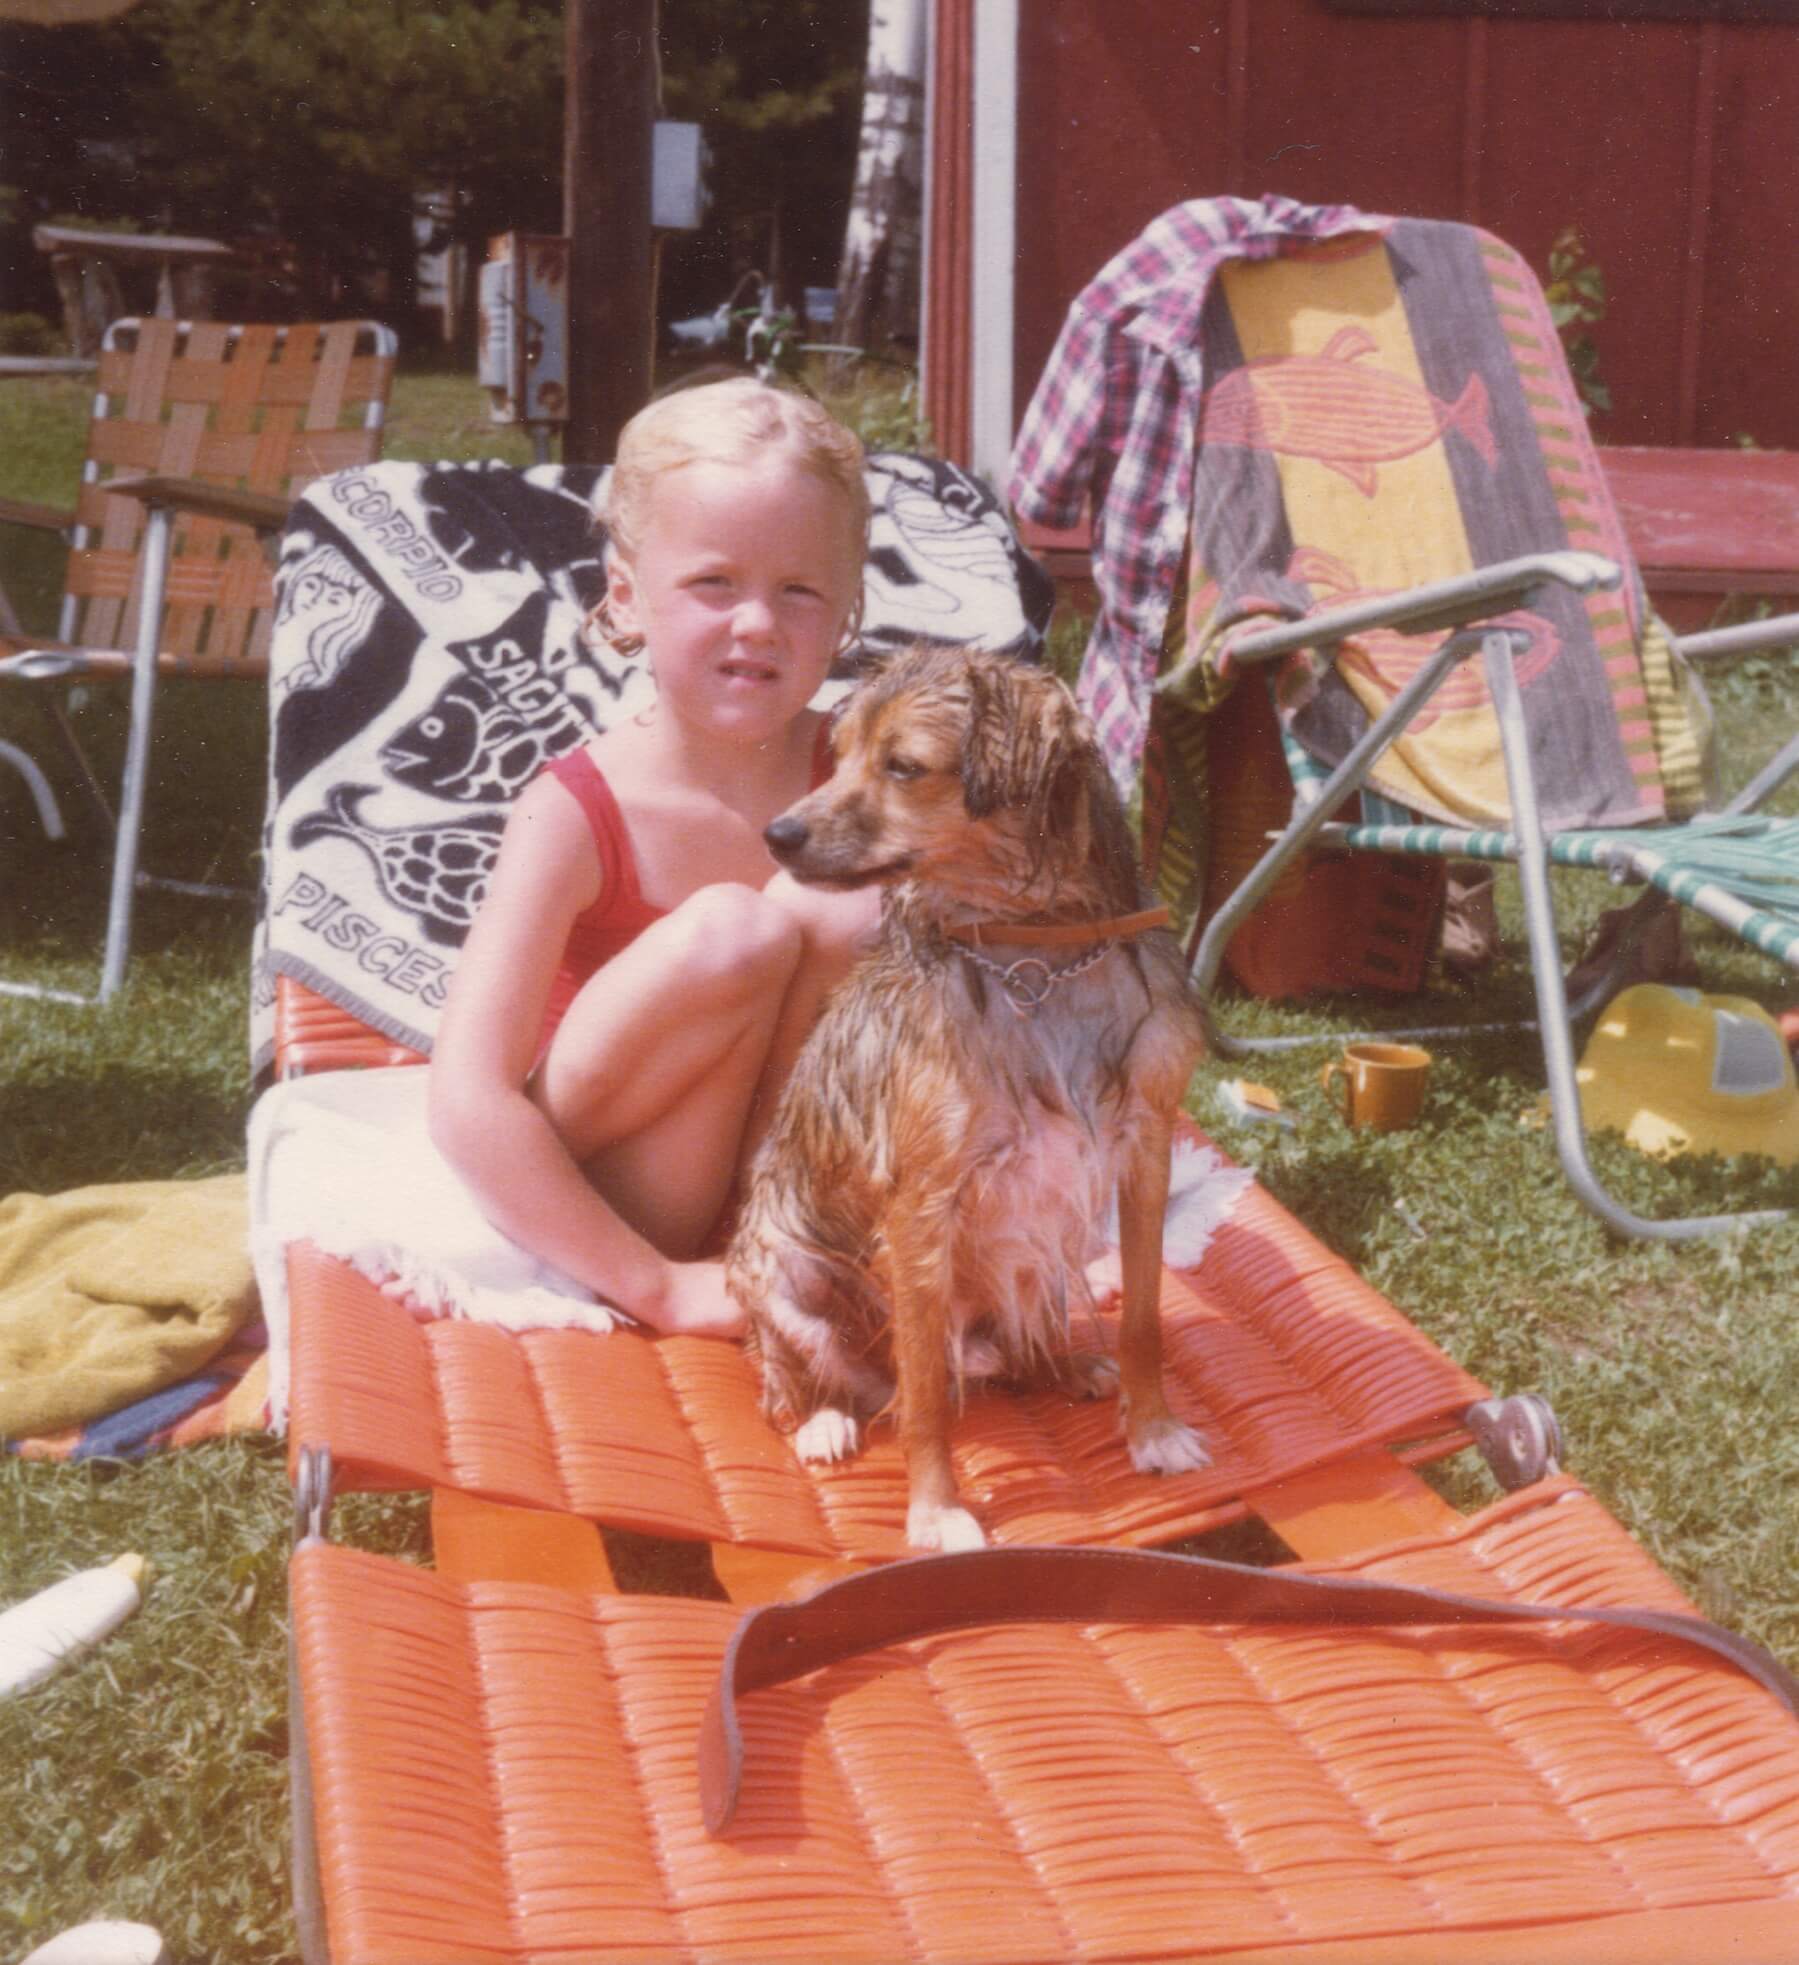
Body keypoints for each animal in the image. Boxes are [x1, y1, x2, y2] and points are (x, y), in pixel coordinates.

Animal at [718, 644, 1209, 1548]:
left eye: (903, 766)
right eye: (838, 755)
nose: (777, 834)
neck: (1036, 953)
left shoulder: (1145, 1150)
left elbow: (1144, 1317)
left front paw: (1154, 1429)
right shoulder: (921, 1204)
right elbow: (922, 1402)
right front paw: (936, 1510)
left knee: (1005, 1351)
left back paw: (1061, 1365)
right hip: (784, 1273)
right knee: (802, 1377)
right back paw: (824, 1418)